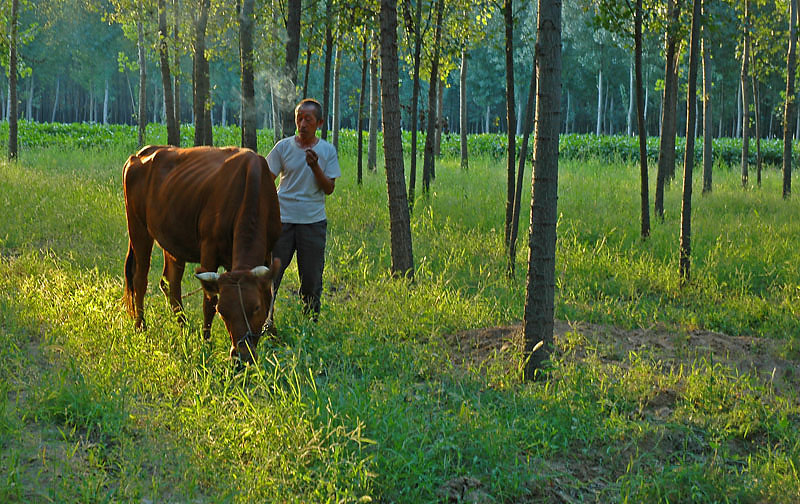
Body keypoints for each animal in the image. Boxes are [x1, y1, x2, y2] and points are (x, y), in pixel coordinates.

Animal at [120, 145, 280, 362]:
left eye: (255, 308)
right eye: (223, 313)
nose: (241, 356)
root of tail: (141, 152)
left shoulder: (267, 252)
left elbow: (269, 294)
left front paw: (272, 336)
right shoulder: (209, 248)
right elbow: (209, 301)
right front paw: (206, 342)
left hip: (172, 239)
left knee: (171, 283)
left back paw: (184, 328)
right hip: (138, 227)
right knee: (139, 279)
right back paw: (140, 327)